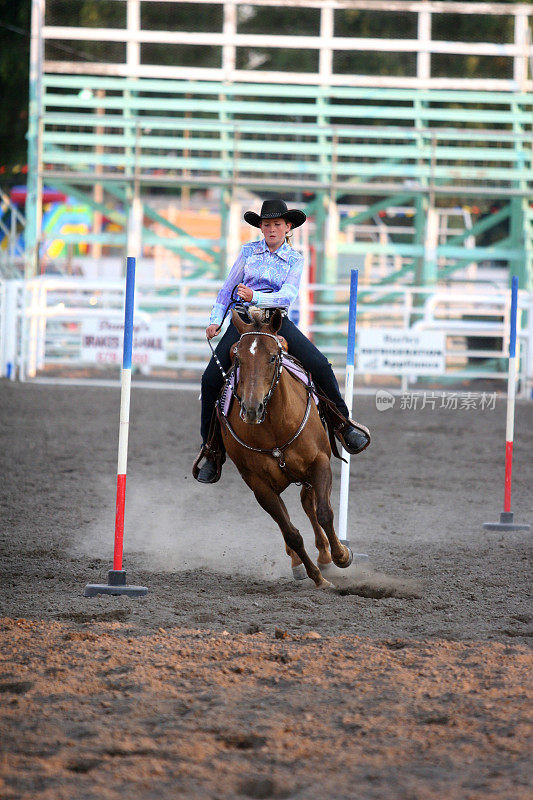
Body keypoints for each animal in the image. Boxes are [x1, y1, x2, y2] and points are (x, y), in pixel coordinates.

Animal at [216, 306, 354, 588]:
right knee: (289, 520)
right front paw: (318, 578)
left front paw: (342, 555)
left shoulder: (320, 463)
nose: (251, 408)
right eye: (238, 359)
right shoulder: (260, 486)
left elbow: (324, 512)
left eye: (272, 357)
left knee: (309, 504)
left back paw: (326, 555)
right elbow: (291, 533)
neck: (275, 428)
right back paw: (300, 563)